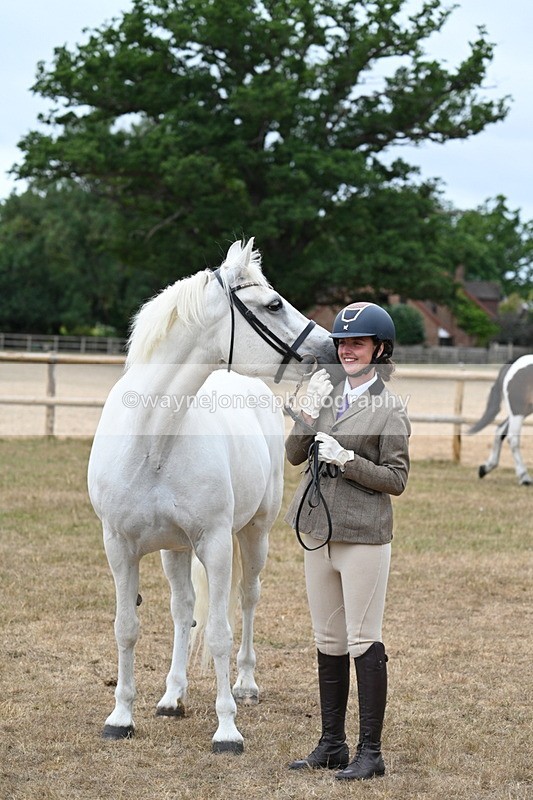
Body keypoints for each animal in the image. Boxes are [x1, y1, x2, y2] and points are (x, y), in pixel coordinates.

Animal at [87, 238, 337, 752]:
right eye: (273, 304)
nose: (330, 347)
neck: (153, 439)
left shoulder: (218, 544)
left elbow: (220, 633)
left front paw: (227, 729)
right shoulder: (119, 547)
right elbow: (127, 629)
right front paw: (121, 717)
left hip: (253, 536)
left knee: (246, 600)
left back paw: (245, 685)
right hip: (174, 550)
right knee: (184, 611)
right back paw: (172, 695)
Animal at [468, 354, 533, 486]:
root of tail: (515, 363)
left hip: (525, 410)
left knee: (500, 430)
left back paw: (485, 468)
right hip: (518, 410)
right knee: (512, 438)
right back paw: (524, 477)